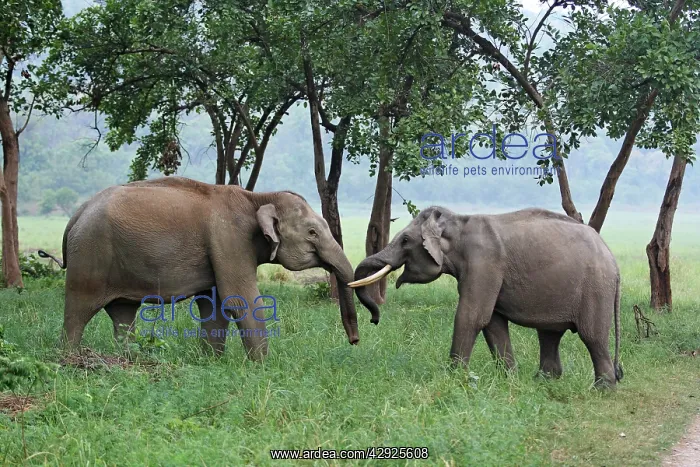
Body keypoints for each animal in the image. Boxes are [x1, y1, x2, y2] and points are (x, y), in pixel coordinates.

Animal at [38, 176, 372, 360]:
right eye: (312, 232)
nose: (355, 340)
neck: (257, 198)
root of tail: (76, 215)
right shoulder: (229, 239)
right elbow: (240, 299)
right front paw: (264, 367)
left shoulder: (223, 247)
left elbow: (214, 305)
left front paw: (212, 362)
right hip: (90, 256)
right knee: (78, 312)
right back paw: (68, 359)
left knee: (123, 314)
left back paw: (130, 360)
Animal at [350, 206, 623, 388]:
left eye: (405, 240)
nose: (374, 320)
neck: (459, 221)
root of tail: (612, 258)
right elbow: (492, 322)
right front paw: (509, 381)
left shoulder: (484, 262)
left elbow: (472, 316)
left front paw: (454, 379)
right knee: (549, 333)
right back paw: (543, 381)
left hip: (596, 287)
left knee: (592, 336)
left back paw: (601, 389)